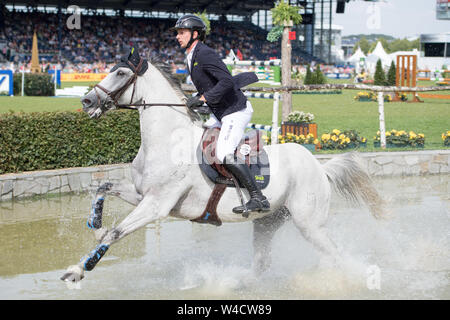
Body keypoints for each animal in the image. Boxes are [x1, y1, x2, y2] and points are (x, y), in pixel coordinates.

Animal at [59, 53, 384, 282]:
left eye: (121, 73)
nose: (87, 101)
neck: (166, 139)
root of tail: (320, 168)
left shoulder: (157, 205)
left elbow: (116, 233)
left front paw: (78, 269)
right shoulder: (142, 194)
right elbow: (103, 187)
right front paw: (95, 225)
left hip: (309, 223)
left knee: (334, 254)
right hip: (269, 221)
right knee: (262, 262)